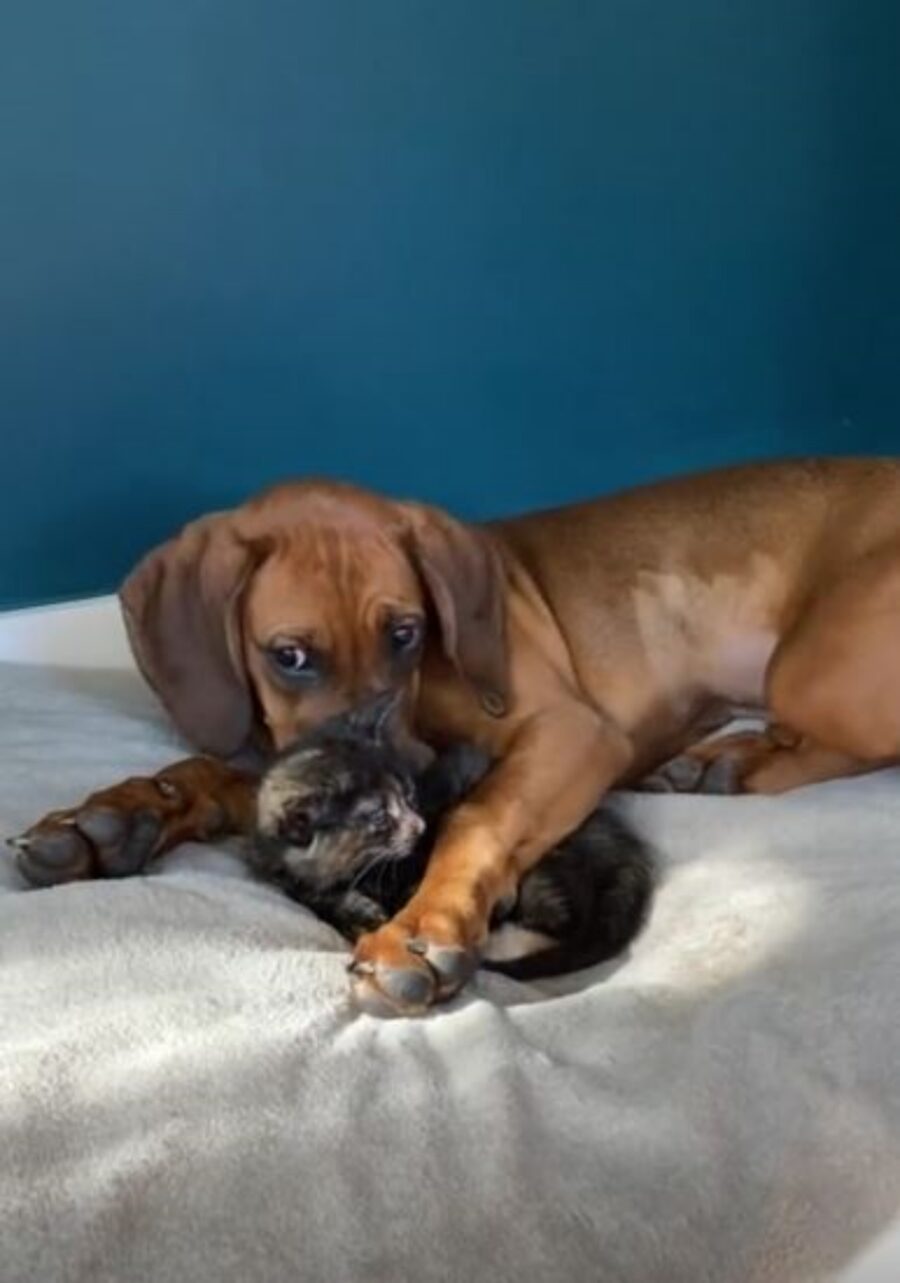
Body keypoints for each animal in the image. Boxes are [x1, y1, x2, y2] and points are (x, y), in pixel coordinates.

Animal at [15, 456, 900, 1016]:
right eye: (289, 655)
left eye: (408, 633)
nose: (409, 785)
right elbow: (209, 771)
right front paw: (115, 817)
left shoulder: (572, 732)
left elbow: (480, 814)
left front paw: (423, 927)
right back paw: (723, 761)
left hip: (807, 667)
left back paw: (738, 764)